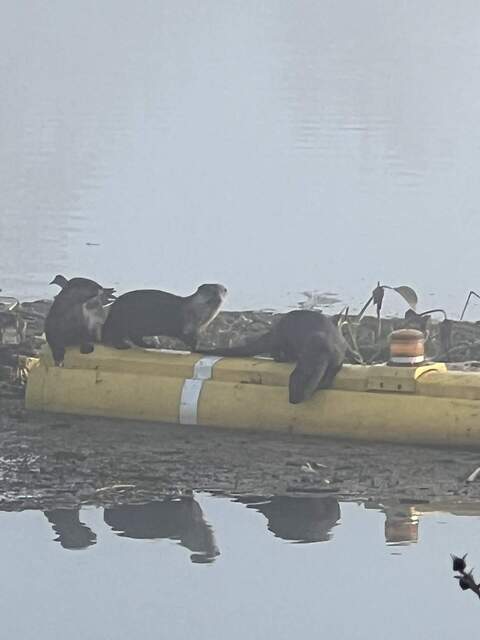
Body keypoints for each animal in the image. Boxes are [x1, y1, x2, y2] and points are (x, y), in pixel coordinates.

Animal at [202, 308, 344, 402]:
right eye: (290, 385)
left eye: (303, 386)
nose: (292, 400)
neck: (321, 346)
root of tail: (275, 330)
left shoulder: (337, 356)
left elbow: (331, 372)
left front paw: (323, 384)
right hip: (283, 340)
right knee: (276, 353)